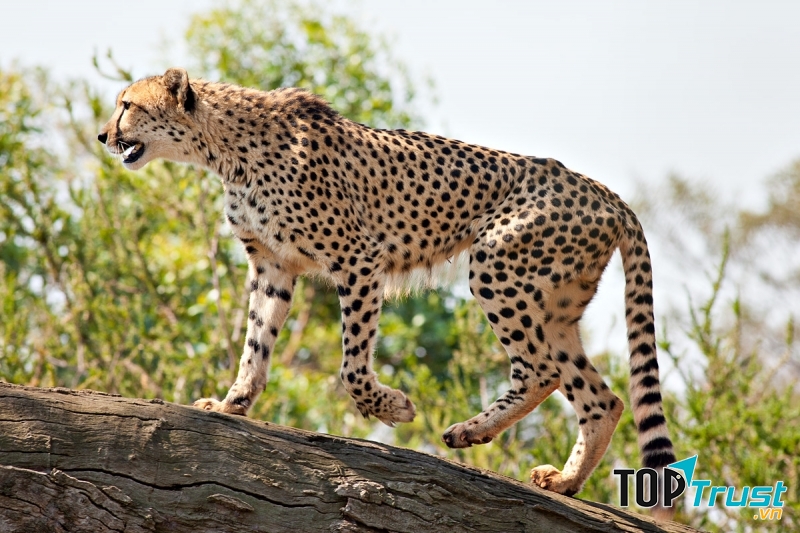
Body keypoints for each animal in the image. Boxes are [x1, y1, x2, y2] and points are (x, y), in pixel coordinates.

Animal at [98, 68, 677, 519]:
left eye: (128, 104)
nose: (104, 135)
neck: (224, 147)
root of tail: (604, 192)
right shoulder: (273, 265)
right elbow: (255, 344)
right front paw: (231, 403)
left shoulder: (357, 258)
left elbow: (352, 364)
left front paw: (391, 407)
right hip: (552, 306)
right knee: (602, 397)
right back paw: (560, 479)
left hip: (496, 267)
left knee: (542, 370)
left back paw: (475, 434)